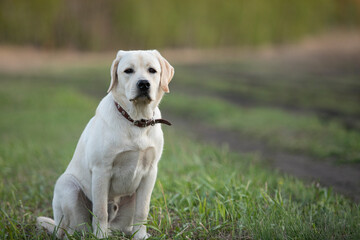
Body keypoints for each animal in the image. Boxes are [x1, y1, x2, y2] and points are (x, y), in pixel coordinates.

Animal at [37, 49, 175, 239]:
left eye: (152, 70)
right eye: (128, 71)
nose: (143, 84)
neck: (136, 121)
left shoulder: (150, 171)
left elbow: (143, 210)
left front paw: (140, 236)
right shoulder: (101, 170)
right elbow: (101, 210)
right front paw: (100, 236)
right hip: (68, 186)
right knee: (75, 229)